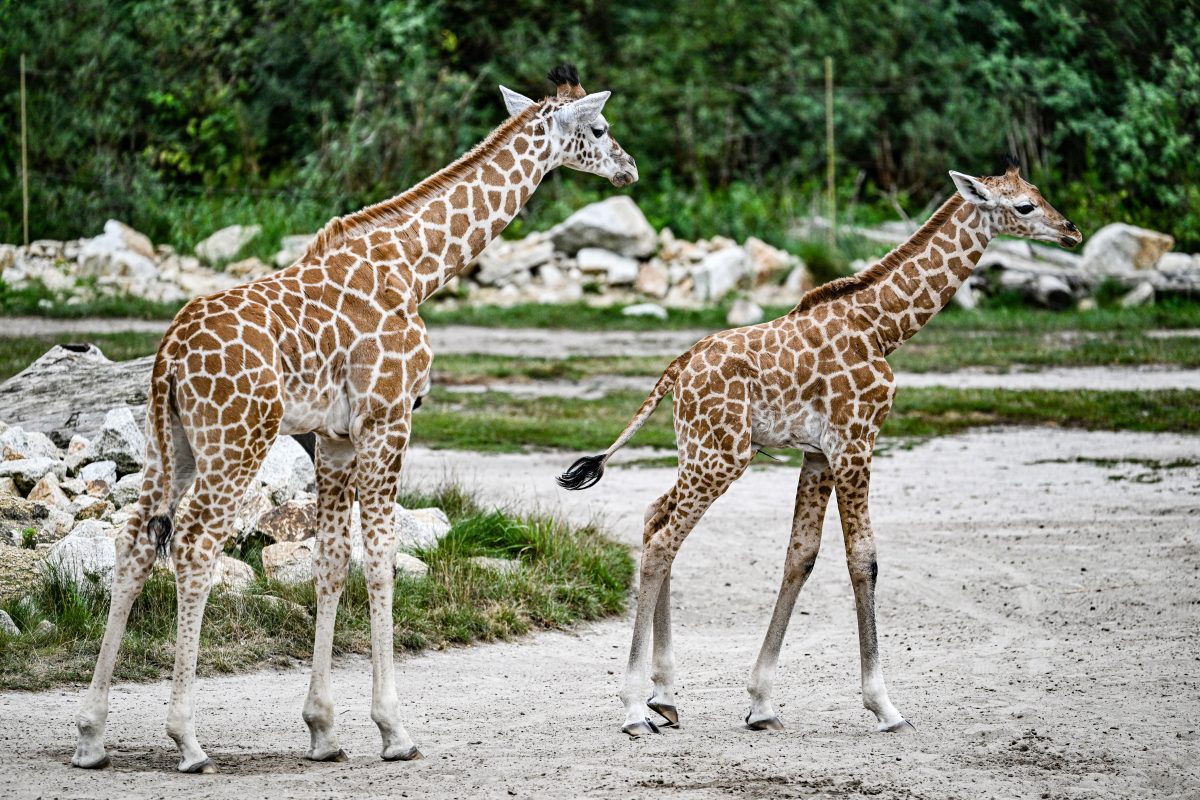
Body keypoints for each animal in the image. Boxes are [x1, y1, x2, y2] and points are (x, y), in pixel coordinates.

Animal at [71, 62, 638, 767]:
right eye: (600, 127)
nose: (629, 169)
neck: (417, 269)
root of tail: (170, 352)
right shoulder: (390, 416)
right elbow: (383, 551)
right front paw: (394, 730)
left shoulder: (335, 435)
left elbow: (332, 559)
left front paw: (323, 730)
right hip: (237, 438)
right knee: (196, 542)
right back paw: (187, 738)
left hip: (168, 440)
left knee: (133, 538)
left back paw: (91, 735)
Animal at [556, 160, 1084, 738]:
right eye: (1025, 206)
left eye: (1038, 194)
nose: (1072, 231)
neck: (882, 326)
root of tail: (675, 370)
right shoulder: (856, 440)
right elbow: (863, 559)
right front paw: (884, 706)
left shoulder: (818, 453)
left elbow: (801, 556)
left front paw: (762, 703)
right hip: (722, 456)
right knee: (662, 542)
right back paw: (633, 709)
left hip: (699, 449)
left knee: (655, 516)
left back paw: (665, 697)